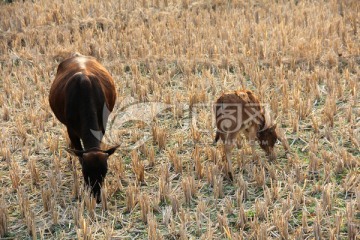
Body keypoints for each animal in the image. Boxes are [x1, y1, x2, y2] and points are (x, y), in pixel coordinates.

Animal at [48, 53, 119, 202]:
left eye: (105, 171)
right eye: (85, 172)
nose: (97, 197)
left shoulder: (102, 126)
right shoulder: (71, 130)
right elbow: (78, 152)